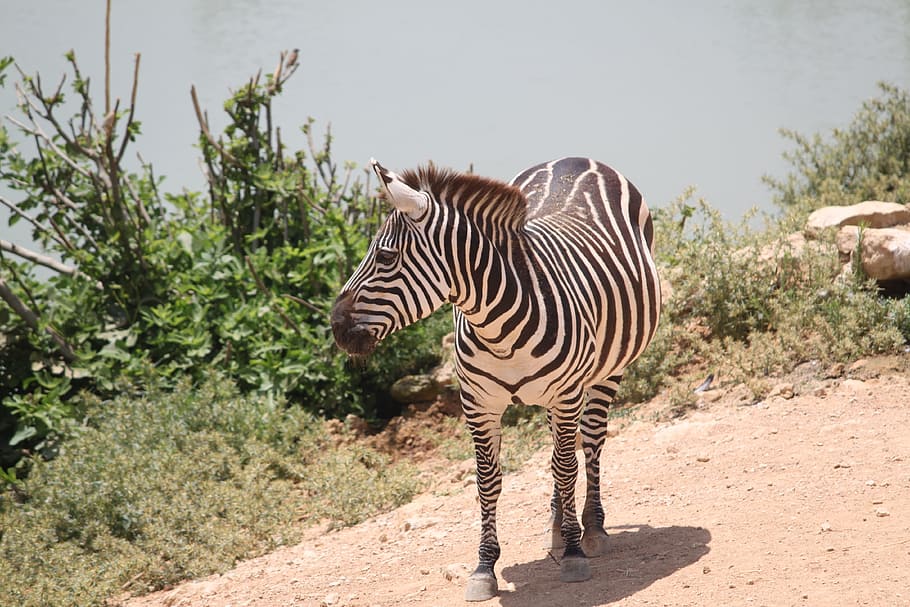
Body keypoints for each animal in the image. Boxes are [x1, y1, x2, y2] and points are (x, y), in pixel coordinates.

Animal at [331, 157, 661, 601]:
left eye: (384, 257)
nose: (335, 327)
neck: (498, 328)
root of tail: (576, 159)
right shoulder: (478, 403)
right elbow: (489, 481)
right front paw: (484, 567)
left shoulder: (567, 393)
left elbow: (566, 468)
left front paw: (575, 555)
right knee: (560, 450)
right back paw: (558, 527)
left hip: (605, 372)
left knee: (589, 445)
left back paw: (590, 529)